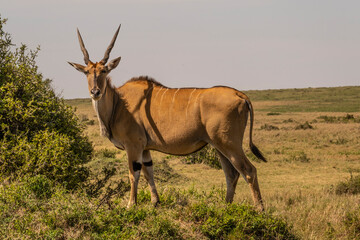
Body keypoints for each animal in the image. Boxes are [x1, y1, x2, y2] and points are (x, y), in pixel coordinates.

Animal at [69, 25, 268, 210]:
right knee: (232, 174)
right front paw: (155, 202)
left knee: (249, 171)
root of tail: (239, 94)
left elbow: (134, 174)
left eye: (104, 71)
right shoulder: (145, 149)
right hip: (219, 146)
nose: (95, 92)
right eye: (87, 72)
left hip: (229, 144)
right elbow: (149, 172)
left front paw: (131, 205)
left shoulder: (133, 146)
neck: (119, 102)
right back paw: (225, 207)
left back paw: (259, 209)